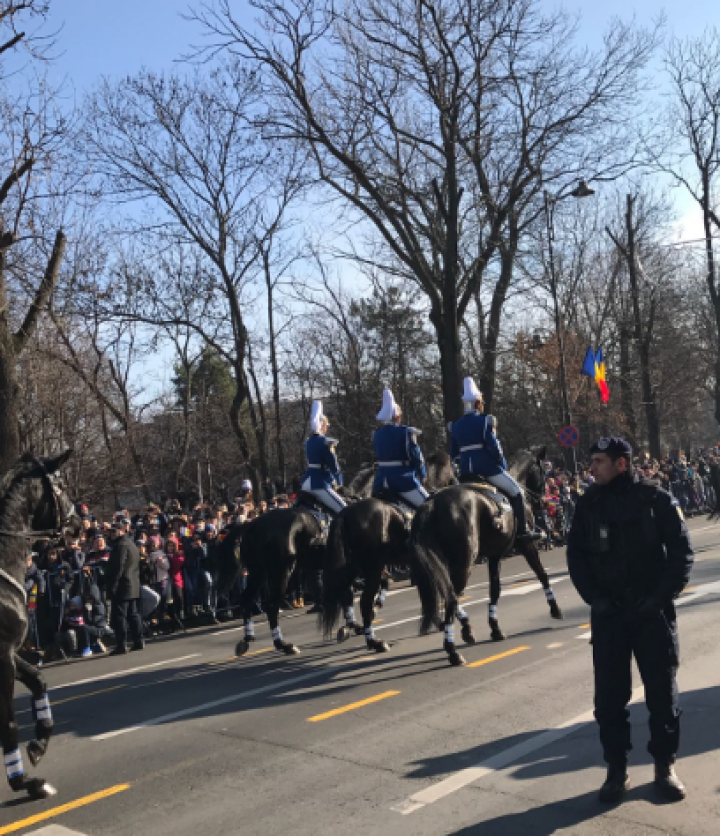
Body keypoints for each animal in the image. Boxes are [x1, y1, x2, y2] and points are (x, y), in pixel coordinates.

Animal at [320, 454, 456, 648]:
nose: (456, 482)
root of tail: (345, 513)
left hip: (355, 567)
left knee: (346, 594)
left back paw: (353, 628)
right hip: (371, 568)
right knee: (363, 600)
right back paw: (373, 641)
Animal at [410, 448, 564, 668]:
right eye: (544, 471)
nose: (542, 502)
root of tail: (432, 502)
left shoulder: (495, 555)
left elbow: (495, 590)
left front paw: (495, 628)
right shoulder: (526, 545)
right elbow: (542, 574)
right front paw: (555, 608)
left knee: (445, 593)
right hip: (463, 563)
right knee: (451, 597)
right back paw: (453, 650)